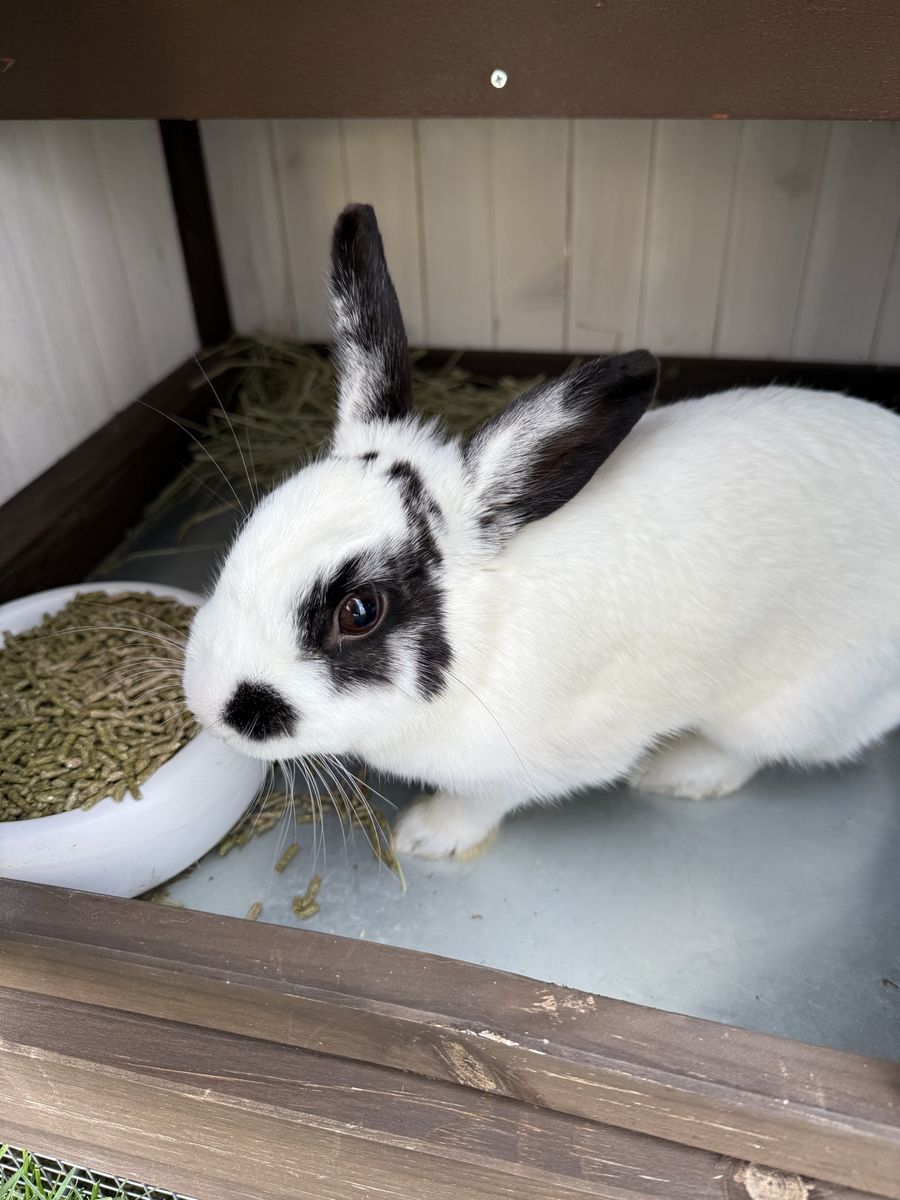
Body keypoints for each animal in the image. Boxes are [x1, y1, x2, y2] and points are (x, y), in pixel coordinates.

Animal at [183, 203, 900, 860]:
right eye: (257, 523)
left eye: (360, 611)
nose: (212, 705)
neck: (485, 637)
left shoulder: (531, 764)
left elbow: (482, 802)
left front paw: (424, 836)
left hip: (793, 703)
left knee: (753, 750)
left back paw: (676, 772)